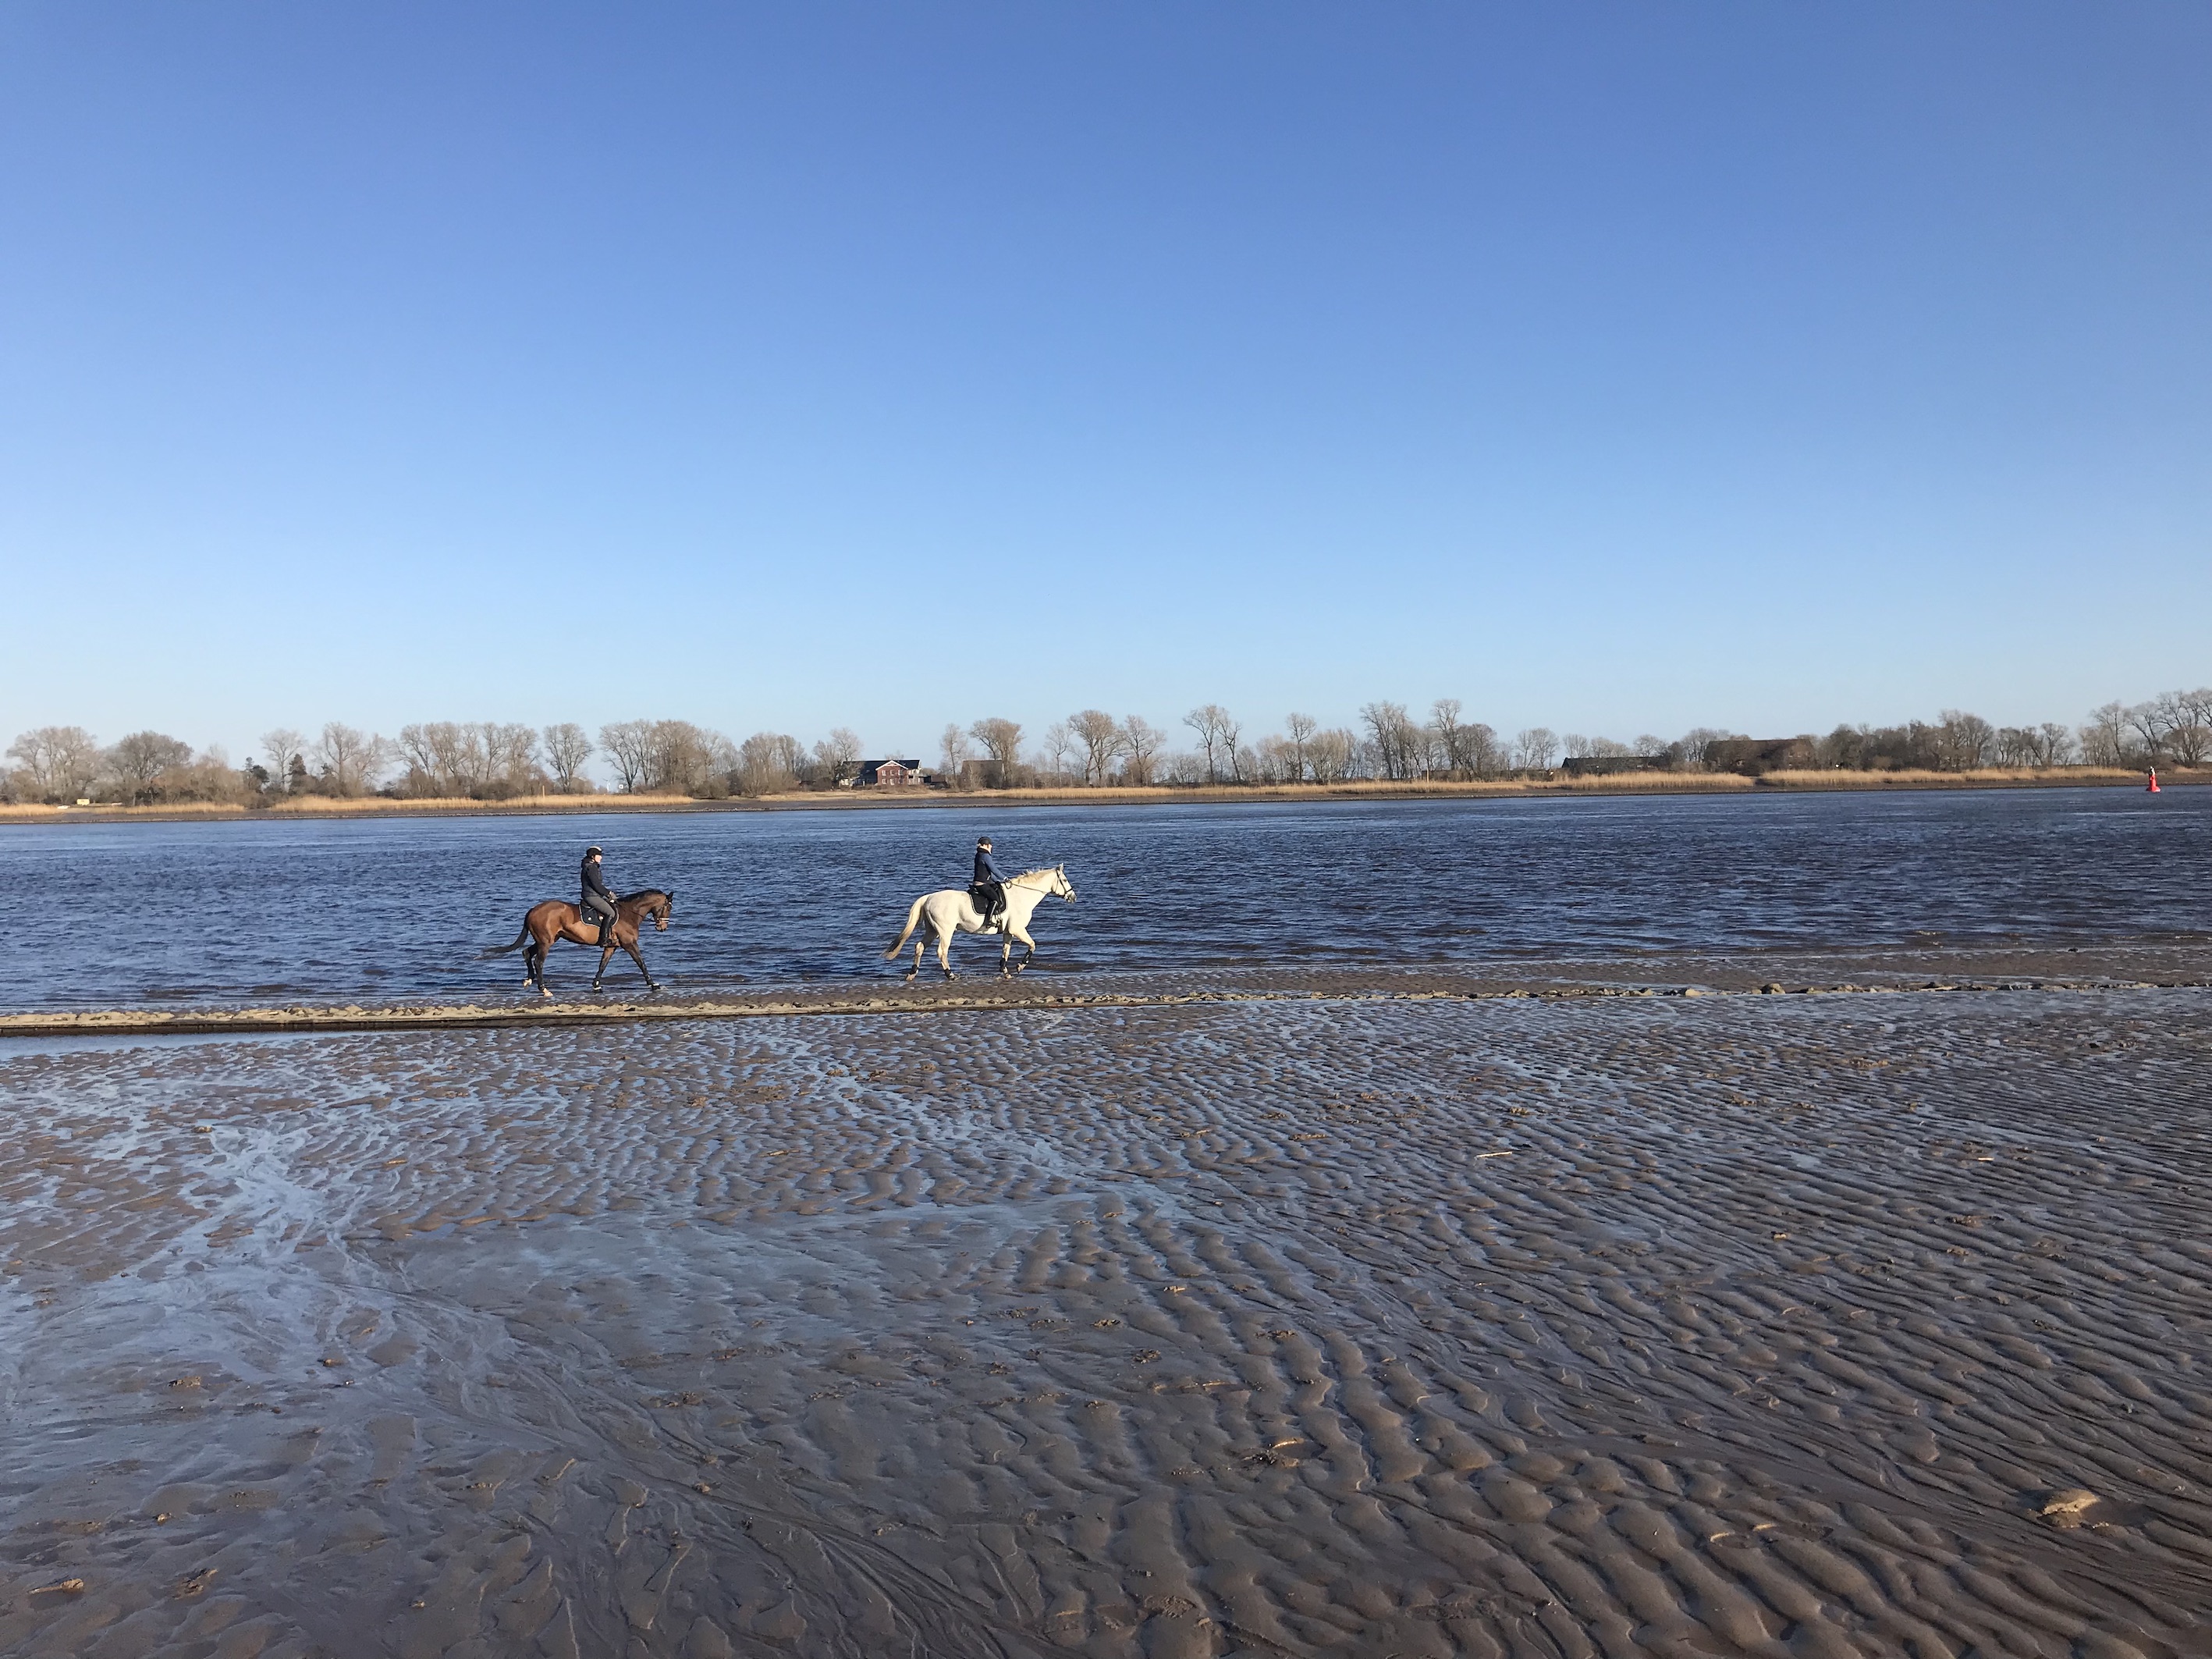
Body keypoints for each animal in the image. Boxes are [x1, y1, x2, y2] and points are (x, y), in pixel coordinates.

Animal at [486, 897, 676, 1000]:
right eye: (668, 907)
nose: (663, 927)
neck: (628, 913)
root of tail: (533, 910)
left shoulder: (612, 947)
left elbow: (602, 965)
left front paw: (596, 986)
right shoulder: (630, 944)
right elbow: (641, 962)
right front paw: (653, 984)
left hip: (547, 940)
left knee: (526, 952)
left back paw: (528, 980)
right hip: (545, 942)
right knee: (538, 962)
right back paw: (544, 989)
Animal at [889, 862, 1079, 982]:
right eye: (1064, 880)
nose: (1073, 897)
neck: (1022, 895)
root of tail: (928, 898)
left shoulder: (1009, 932)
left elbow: (1006, 951)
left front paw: (1005, 972)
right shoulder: (1018, 929)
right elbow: (1032, 945)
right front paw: (1020, 967)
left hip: (932, 931)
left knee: (919, 947)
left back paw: (912, 974)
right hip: (945, 931)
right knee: (941, 952)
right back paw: (950, 975)